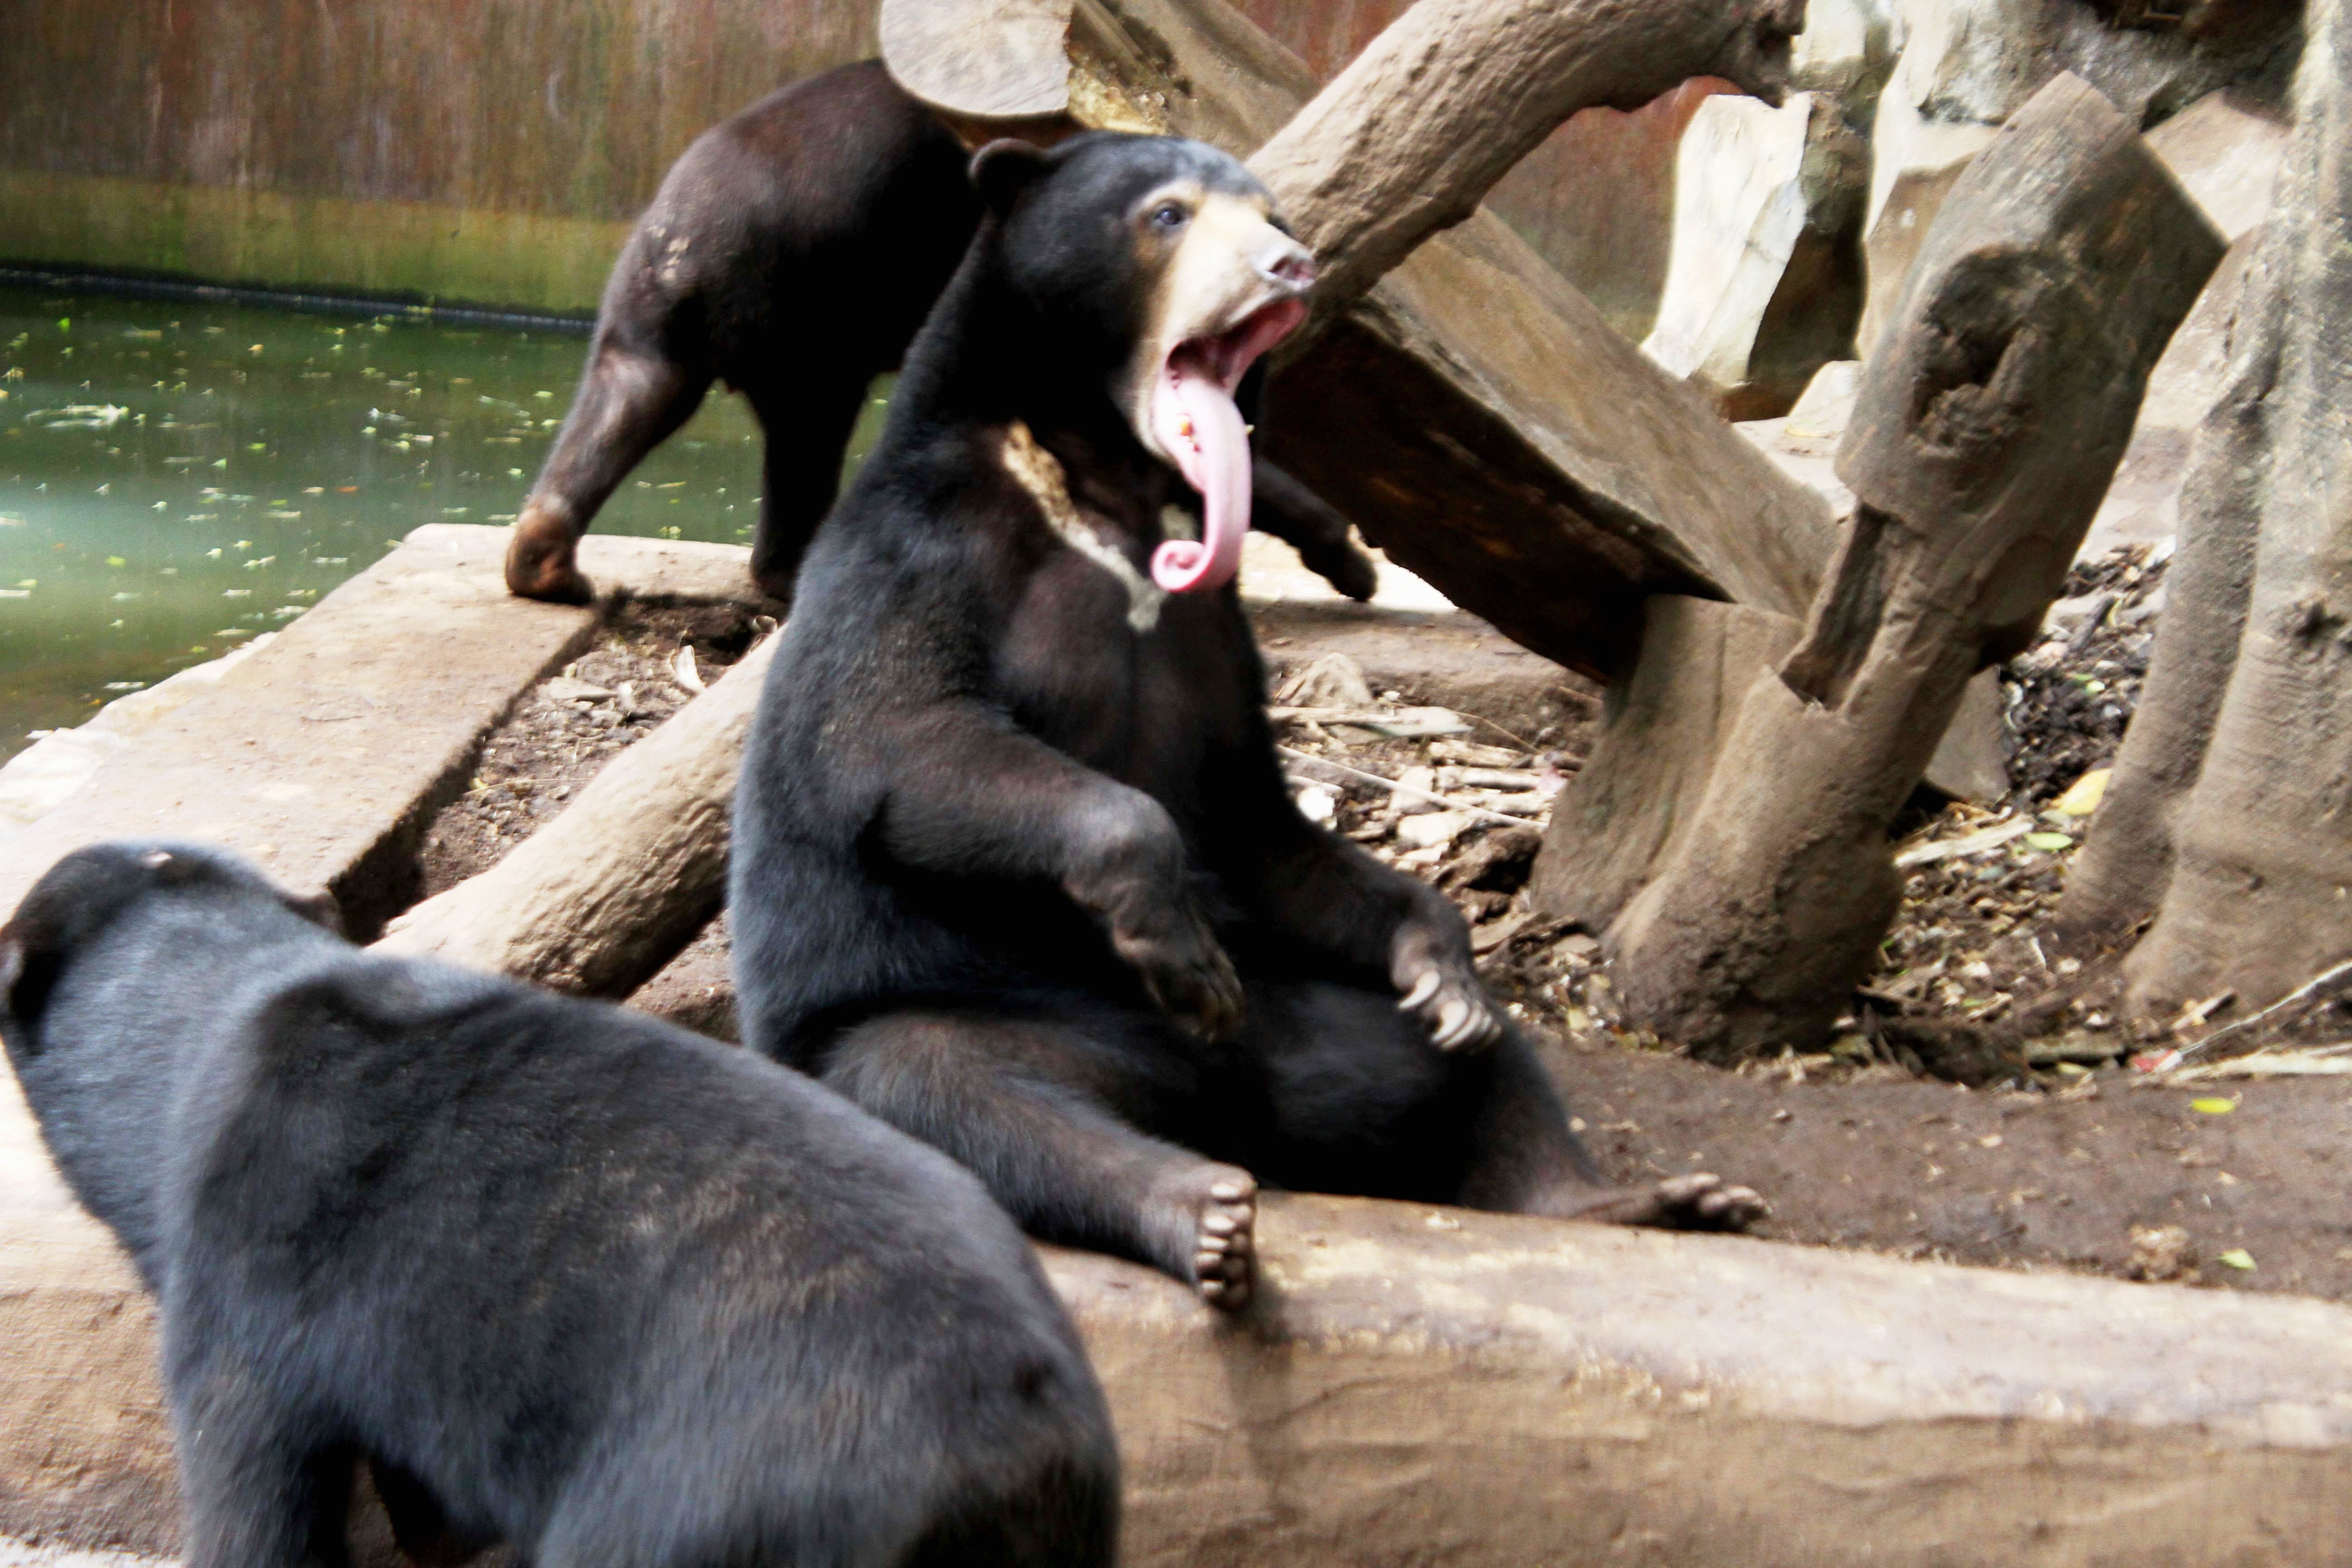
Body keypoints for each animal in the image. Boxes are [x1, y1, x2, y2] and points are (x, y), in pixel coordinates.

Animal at [501, 57, 1373, 606]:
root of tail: (688, 237)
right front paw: (1352, 561)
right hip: (820, 313)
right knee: (808, 439)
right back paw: (791, 574)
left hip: (657, 327)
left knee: (625, 403)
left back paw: (548, 566)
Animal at [734, 132, 1769, 1316]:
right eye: (1166, 215)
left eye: (1273, 215)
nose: (1291, 268)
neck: (1118, 494)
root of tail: (1212, 1105)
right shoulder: (922, 550)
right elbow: (890, 739)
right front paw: (1179, 945)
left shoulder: (1217, 632)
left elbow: (1255, 820)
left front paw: (1440, 960)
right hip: (926, 1011)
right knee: (950, 1085)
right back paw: (1204, 1208)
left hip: (1315, 1026)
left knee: (1478, 1068)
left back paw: (1638, 1193)